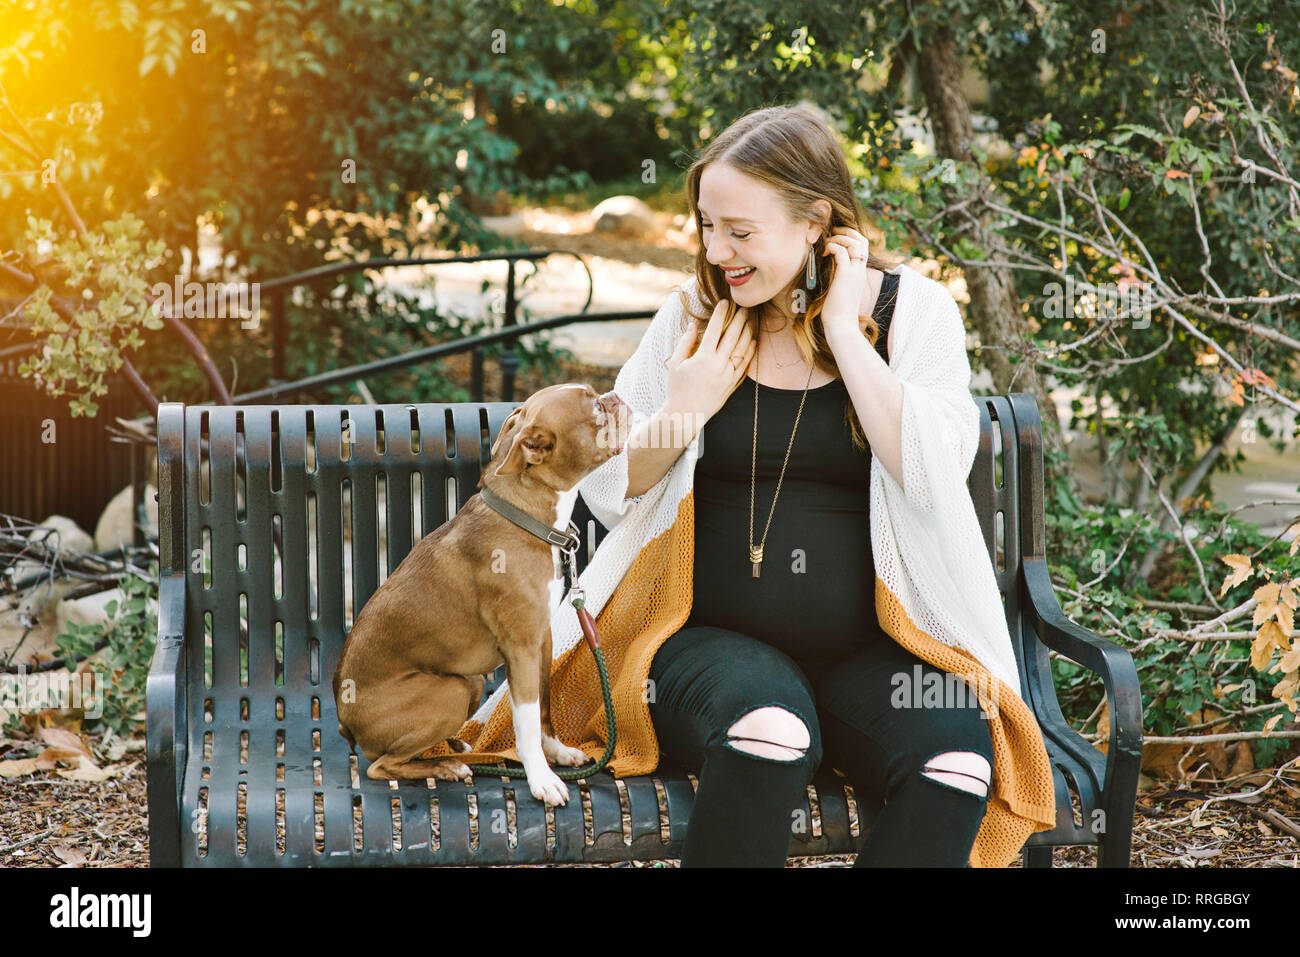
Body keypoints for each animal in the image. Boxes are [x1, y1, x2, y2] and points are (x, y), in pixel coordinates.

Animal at [332, 384, 631, 806]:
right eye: (594, 408)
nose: (615, 395)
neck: (524, 515)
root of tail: (346, 724)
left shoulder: (541, 639)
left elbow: (543, 706)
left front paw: (556, 752)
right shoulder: (521, 648)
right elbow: (525, 718)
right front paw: (542, 779)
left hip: (468, 682)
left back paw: (452, 746)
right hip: (454, 689)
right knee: (380, 765)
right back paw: (445, 766)